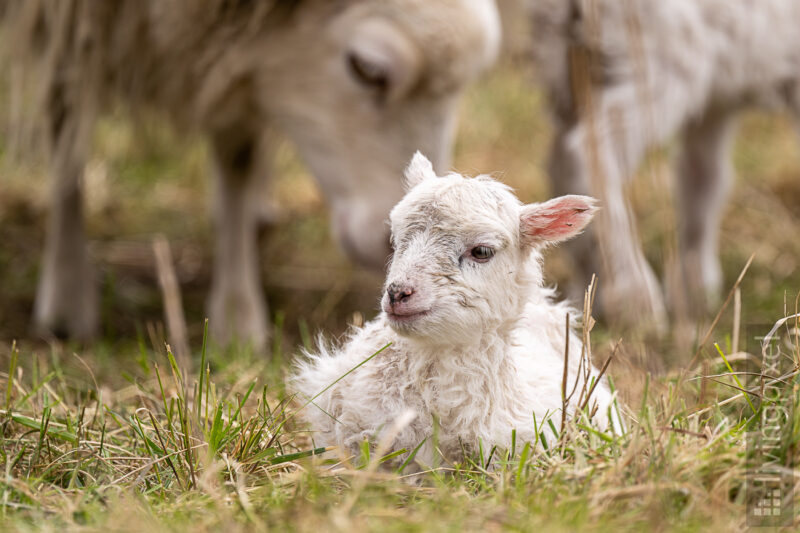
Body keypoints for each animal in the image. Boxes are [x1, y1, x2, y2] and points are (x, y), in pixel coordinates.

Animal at [0, 0, 500, 348]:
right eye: (368, 69)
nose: (389, 247)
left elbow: (238, 156)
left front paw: (236, 315)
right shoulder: (68, 20)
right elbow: (66, 124)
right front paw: (65, 298)